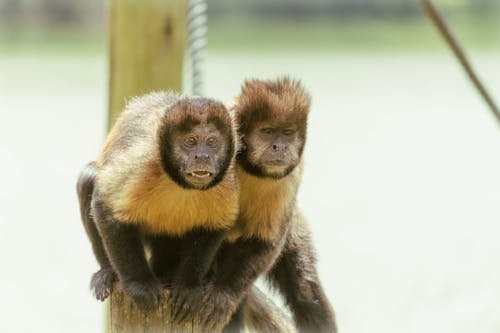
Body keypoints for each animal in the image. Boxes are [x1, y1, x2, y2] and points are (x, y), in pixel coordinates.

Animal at [75, 91, 239, 312]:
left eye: (212, 142)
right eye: (191, 141)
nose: (203, 156)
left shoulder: (226, 176)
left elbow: (215, 224)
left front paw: (188, 286)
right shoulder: (143, 161)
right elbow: (104, 206)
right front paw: (139, 284)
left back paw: (167, 276)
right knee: (89, 178)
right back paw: (108, 272)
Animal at [183, 77, 336, 332]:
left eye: (287, 133)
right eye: (268, 132)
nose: (280, 147)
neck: (248, 165)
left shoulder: (290, 176)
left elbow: (266, 242)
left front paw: (223, 294)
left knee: (305, 289)